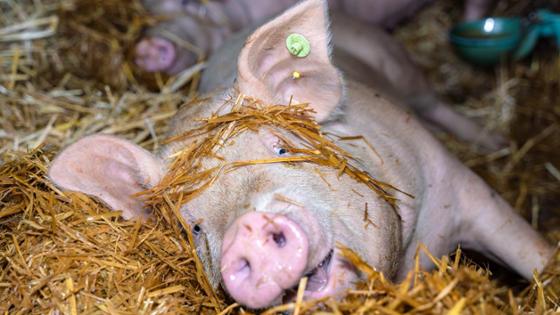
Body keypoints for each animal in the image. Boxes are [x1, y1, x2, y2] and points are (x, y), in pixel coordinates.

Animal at [49, 0, 552, 312]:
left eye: (282, 147)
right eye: (193, 226)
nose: (248, 229)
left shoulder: (462, 186)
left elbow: (533, 253)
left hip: (401, 68)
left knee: (434, 102)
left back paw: (495, 141)